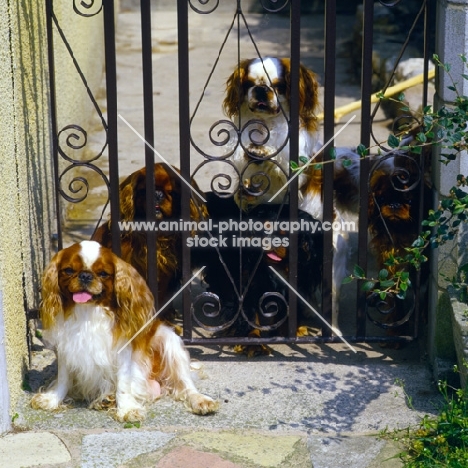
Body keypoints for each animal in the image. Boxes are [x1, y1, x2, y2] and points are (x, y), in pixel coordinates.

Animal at [31, 241, 218, 420]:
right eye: (69, 270)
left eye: (103, 273)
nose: (85, 276)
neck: (88, 311)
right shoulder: (66, 346)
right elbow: (63, 378)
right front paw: (52, 399)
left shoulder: (123, 352)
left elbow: (123, 382)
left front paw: (127, 409)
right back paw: (105, 399)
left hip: (169, 341)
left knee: (186, 384)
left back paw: (200, 400)